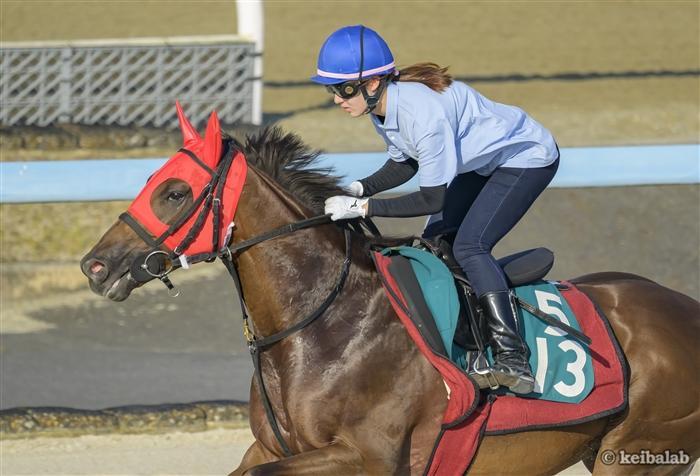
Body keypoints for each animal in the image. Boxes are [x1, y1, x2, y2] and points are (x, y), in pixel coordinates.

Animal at [82, 108, 700, 476]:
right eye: (149, 181)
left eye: (175, 192)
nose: (95, 265)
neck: (325, 327)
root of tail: (687, 310)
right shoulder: (274, 446)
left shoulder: (367, 458)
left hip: (637, 455)